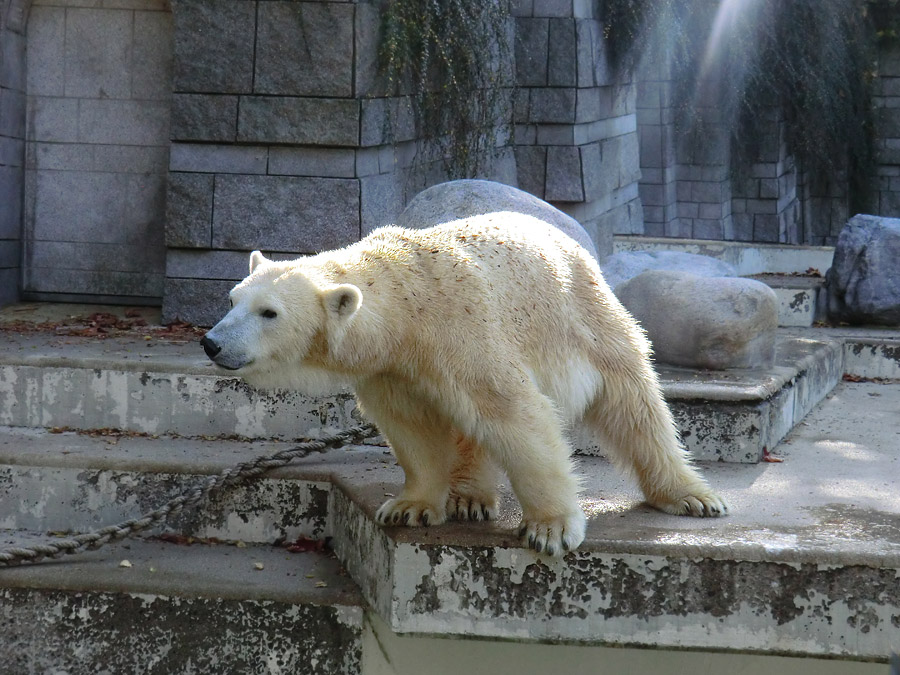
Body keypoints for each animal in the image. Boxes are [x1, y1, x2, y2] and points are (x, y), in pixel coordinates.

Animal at [200, 214, 728, 556]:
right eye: (232, 299)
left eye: (269, 313)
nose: (211, 342)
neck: (407, 306)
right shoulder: (392, 370)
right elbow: (414, 429)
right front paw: (410, 507)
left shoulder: (464, 332)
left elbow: (517, 413)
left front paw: (551, 530)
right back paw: (469, 496)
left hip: (585, 314)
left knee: (632, 402)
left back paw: (691, 495)